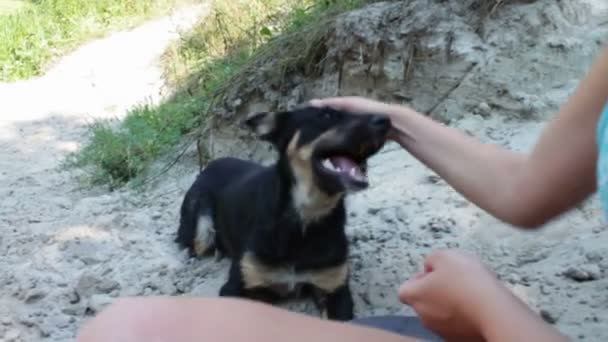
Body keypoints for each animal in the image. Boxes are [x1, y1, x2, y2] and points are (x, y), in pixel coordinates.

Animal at [176, 105, 390, 320]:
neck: (305, 219)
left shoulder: (335, 290)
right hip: (201, 225)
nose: (386, 121)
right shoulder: (237, 287)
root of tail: (208, 166)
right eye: (326, 115)